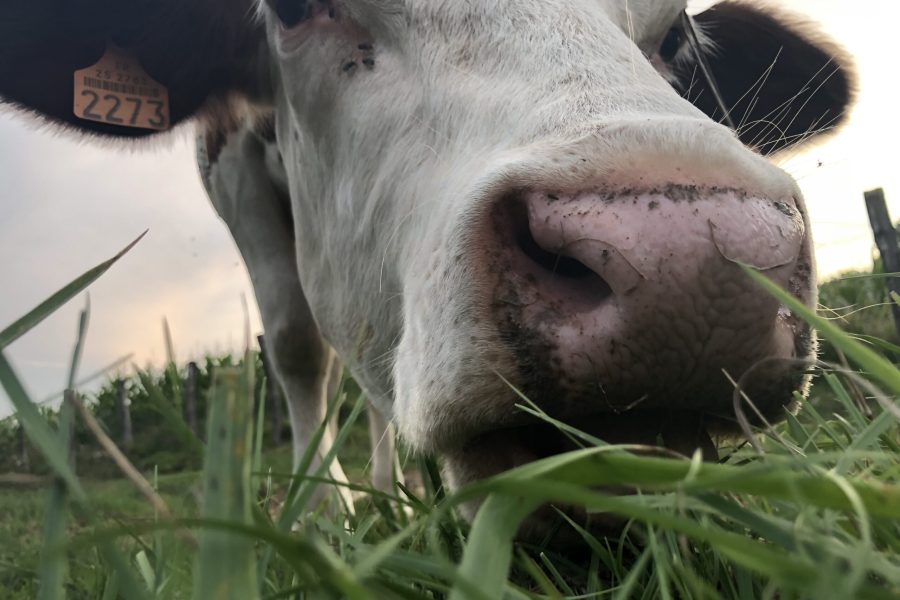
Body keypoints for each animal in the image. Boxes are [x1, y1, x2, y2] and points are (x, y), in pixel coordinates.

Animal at [0, 0, 856, 532]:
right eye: (292, 5)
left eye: (676, 36)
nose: (688, 266)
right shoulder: (231, 166)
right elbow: (296, 345)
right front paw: (325, 517)